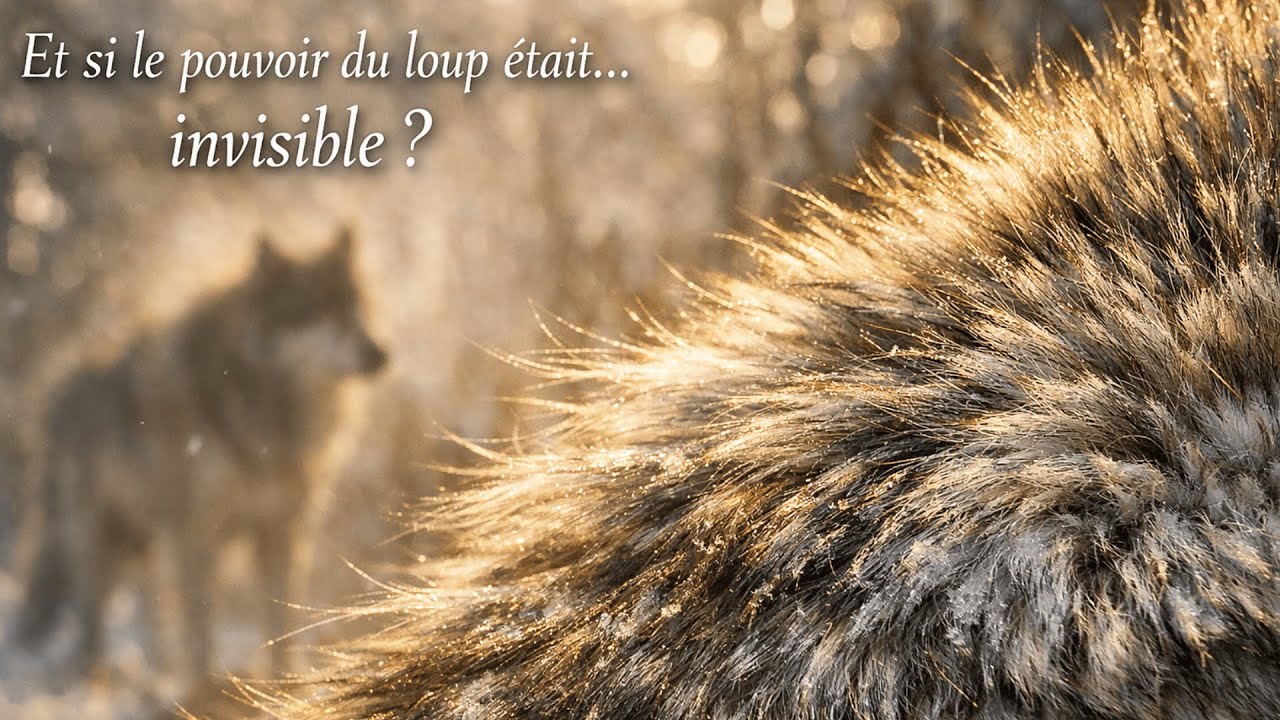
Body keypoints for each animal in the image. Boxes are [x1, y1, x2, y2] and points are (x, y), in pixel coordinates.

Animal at [10, 229, 387, 683]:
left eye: (359, 306)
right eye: (322, 310)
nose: (380, 353)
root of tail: (58, 390)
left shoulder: (280, 529)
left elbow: (281, 622)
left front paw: (284, 684)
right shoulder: (195, 532)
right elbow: (201, 624)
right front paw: (204, 688)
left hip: (143, 544)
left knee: (146, 611)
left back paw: (152, 671)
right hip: (101, 542)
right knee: (92, 617)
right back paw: (95, 676)